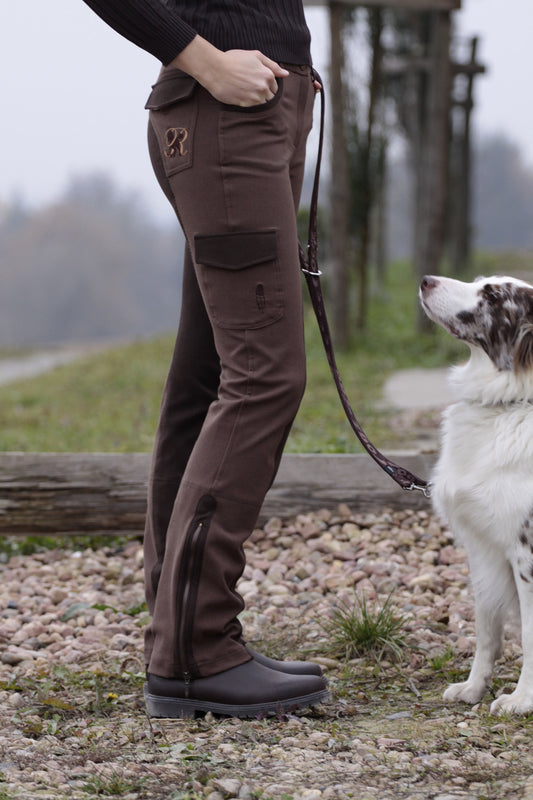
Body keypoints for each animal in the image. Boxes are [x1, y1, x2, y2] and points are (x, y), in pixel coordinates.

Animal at [418, 274, 532, 712]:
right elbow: (486, 628)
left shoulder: (526, 552)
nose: (425, 280)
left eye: (494, 295)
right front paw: (473, 687)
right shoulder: (484, 547)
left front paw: (522, 699)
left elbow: (531, 635)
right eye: (482, 281)